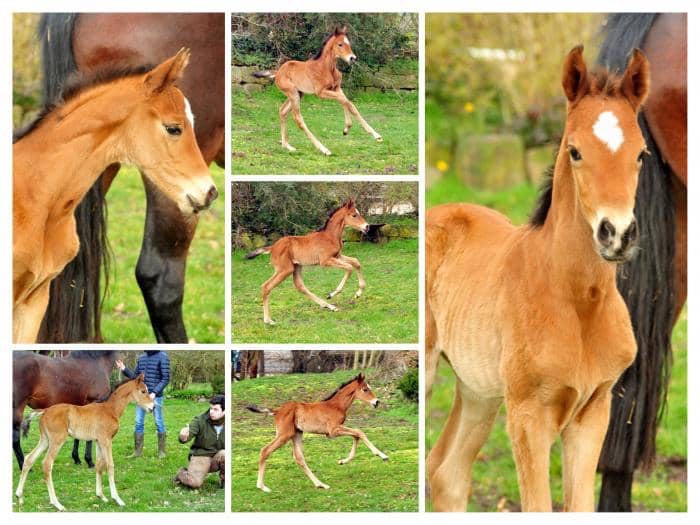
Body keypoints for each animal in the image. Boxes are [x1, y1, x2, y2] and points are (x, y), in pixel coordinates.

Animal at [15, 372, 154, 512]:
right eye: (143, 391)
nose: (152, 407)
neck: (110, 409)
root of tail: (45, 411)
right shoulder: (106, 440)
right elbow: (110, 465)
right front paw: (117, 499)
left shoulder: (98, 441)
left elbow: (99, 465)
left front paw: (100, 496)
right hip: (57, 440)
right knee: (47, 464)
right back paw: (56, 503)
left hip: (45, 440)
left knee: (29, 459)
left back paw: (19, 496)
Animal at [246, 372, 388, 492]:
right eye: (365, 389)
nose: (377, 402)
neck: (336, 406)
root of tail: (277, 410)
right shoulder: (333, 431)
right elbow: (359, 432)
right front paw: (383, 455)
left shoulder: (333, 432)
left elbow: (356, 435)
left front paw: (342, 461)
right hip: (284, 435)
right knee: (265, 450)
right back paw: (262, 486)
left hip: (296, 434)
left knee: (299, 458)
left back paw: (321, 484)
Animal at [253, 25, 382, 155]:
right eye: (340, 44)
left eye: (348, 43)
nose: (352, 58)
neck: (326, 68)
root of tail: (278, 72)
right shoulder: (320, 92)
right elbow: (343, 100)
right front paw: (347, 128)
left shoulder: (337, 88)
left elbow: (349, 104)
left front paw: (375, 135)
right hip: (293, 93)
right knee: (298, 119)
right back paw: (323, 149)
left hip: (298, 94)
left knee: (282, 111)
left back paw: (287, 146)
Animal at [426, 47, 652, 510]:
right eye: (575, 151)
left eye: (640, 154)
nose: (617, 234)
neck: (577, 302)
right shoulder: (528, 416)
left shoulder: (593, 411)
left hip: (478, 389)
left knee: (447, 473)